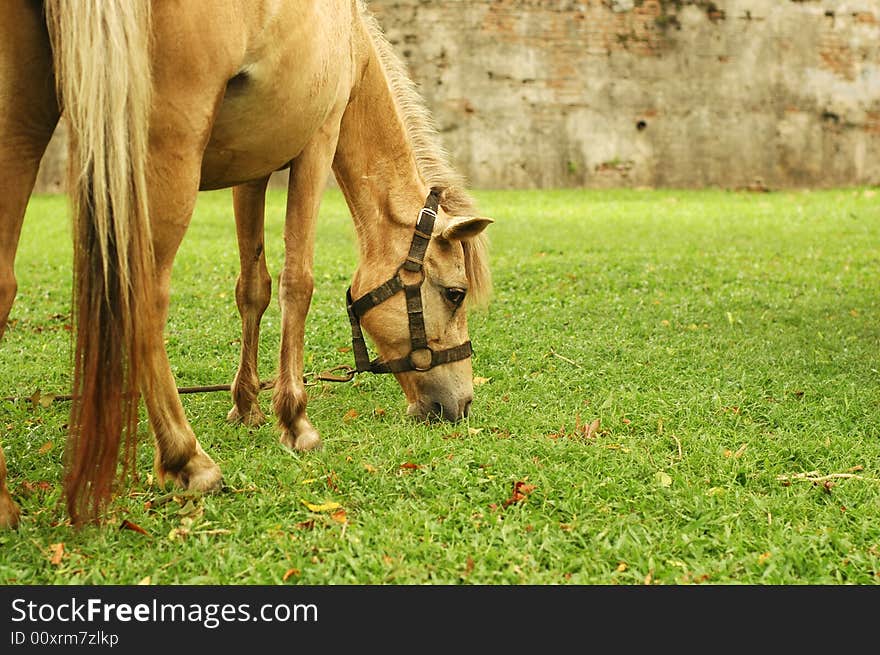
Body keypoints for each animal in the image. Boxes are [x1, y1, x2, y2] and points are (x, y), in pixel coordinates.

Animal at [0, 0, 492, 532]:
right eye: (456, 293)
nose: (462, 405)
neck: (351, 42)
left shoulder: (252, 170)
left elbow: (253, 287)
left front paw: (246, 404)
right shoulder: (318, 142)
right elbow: (298, 281)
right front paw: (294, 419)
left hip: (22, 119)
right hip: (168, 142)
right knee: (144, 294)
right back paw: (187, 458)